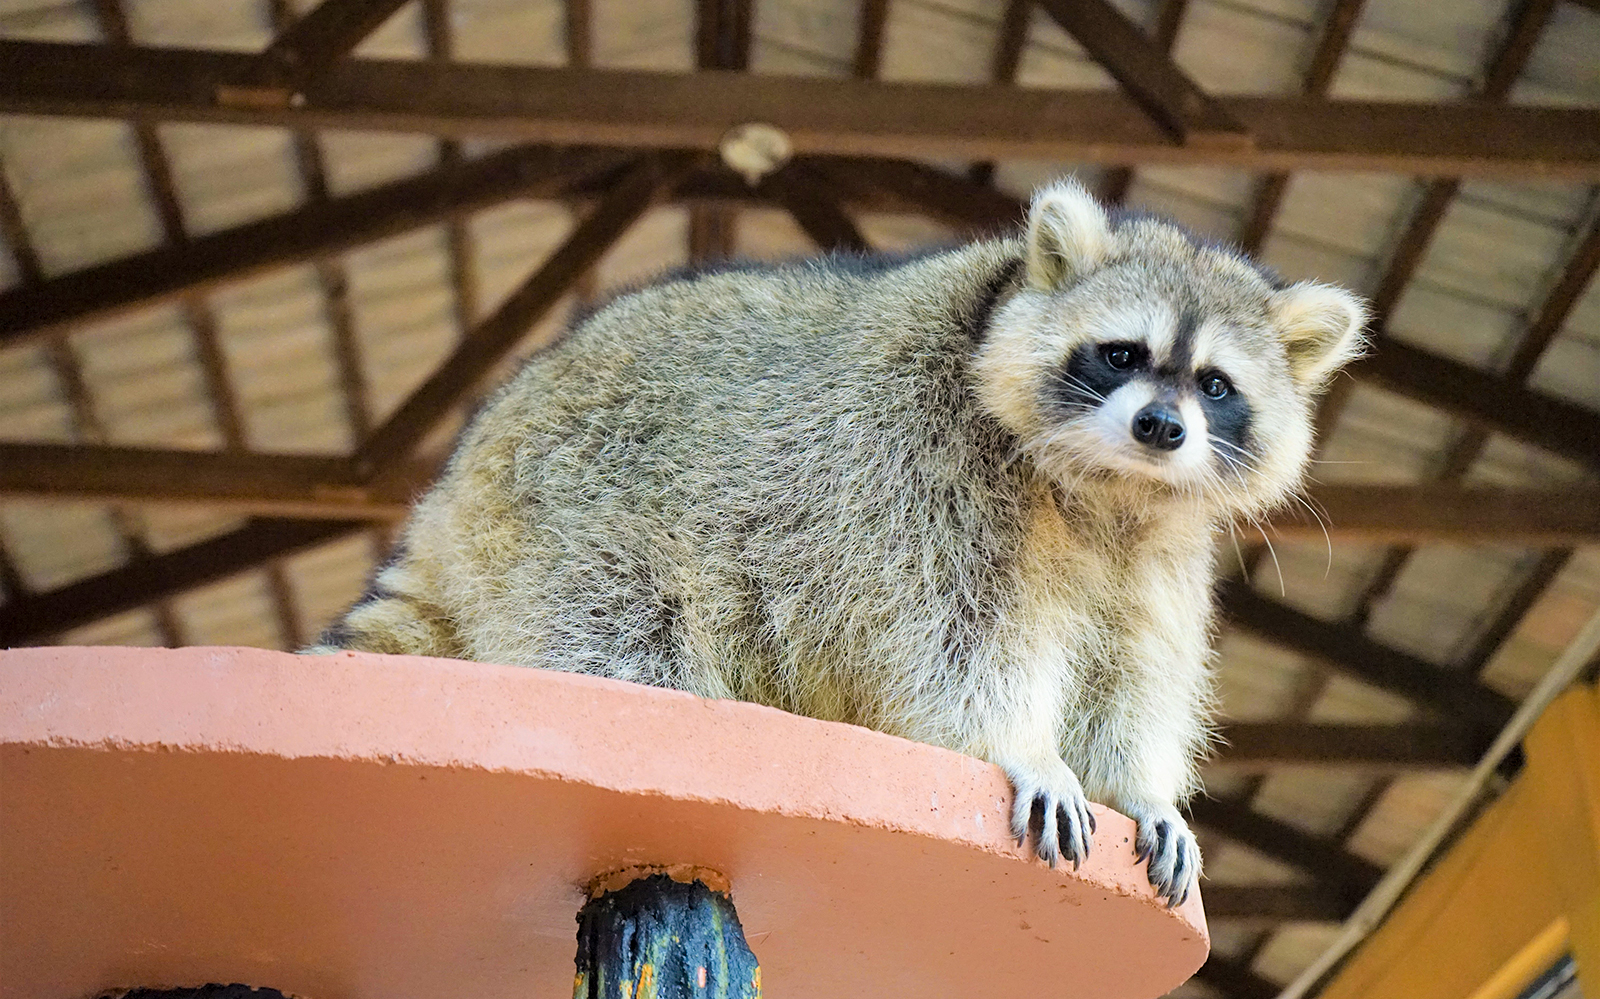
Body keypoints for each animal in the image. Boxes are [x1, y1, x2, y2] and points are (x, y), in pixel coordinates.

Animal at [313, 178, 1365, 906]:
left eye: (1216, 384)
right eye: (1121, 355)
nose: (1161, 426)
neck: (1102, 487)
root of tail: (458, 481)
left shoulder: (1161, 542)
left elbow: (1133, 670)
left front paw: (1138, 787)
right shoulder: (919, 465)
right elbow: (954, 637)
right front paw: (1021, 744)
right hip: (568, 511)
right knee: (622, 636)